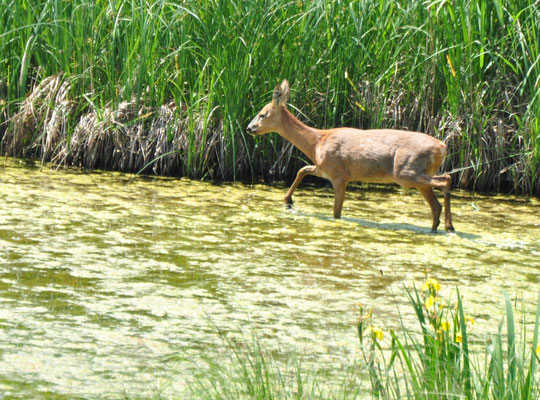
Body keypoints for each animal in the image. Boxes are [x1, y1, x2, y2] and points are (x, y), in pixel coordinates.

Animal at [247, 79, 454, 231]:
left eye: (262, 114)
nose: (249, 128)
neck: (317, 143)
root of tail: (442, 146)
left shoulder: (339, 175)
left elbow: (336, 213)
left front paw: (289, 200)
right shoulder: (325, 169)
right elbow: (303, 169)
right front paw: (288, 201)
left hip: (405, 172)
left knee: (446, 180)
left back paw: (449, 226)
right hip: (418, 175)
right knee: (436, 204)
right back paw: (438, 228)